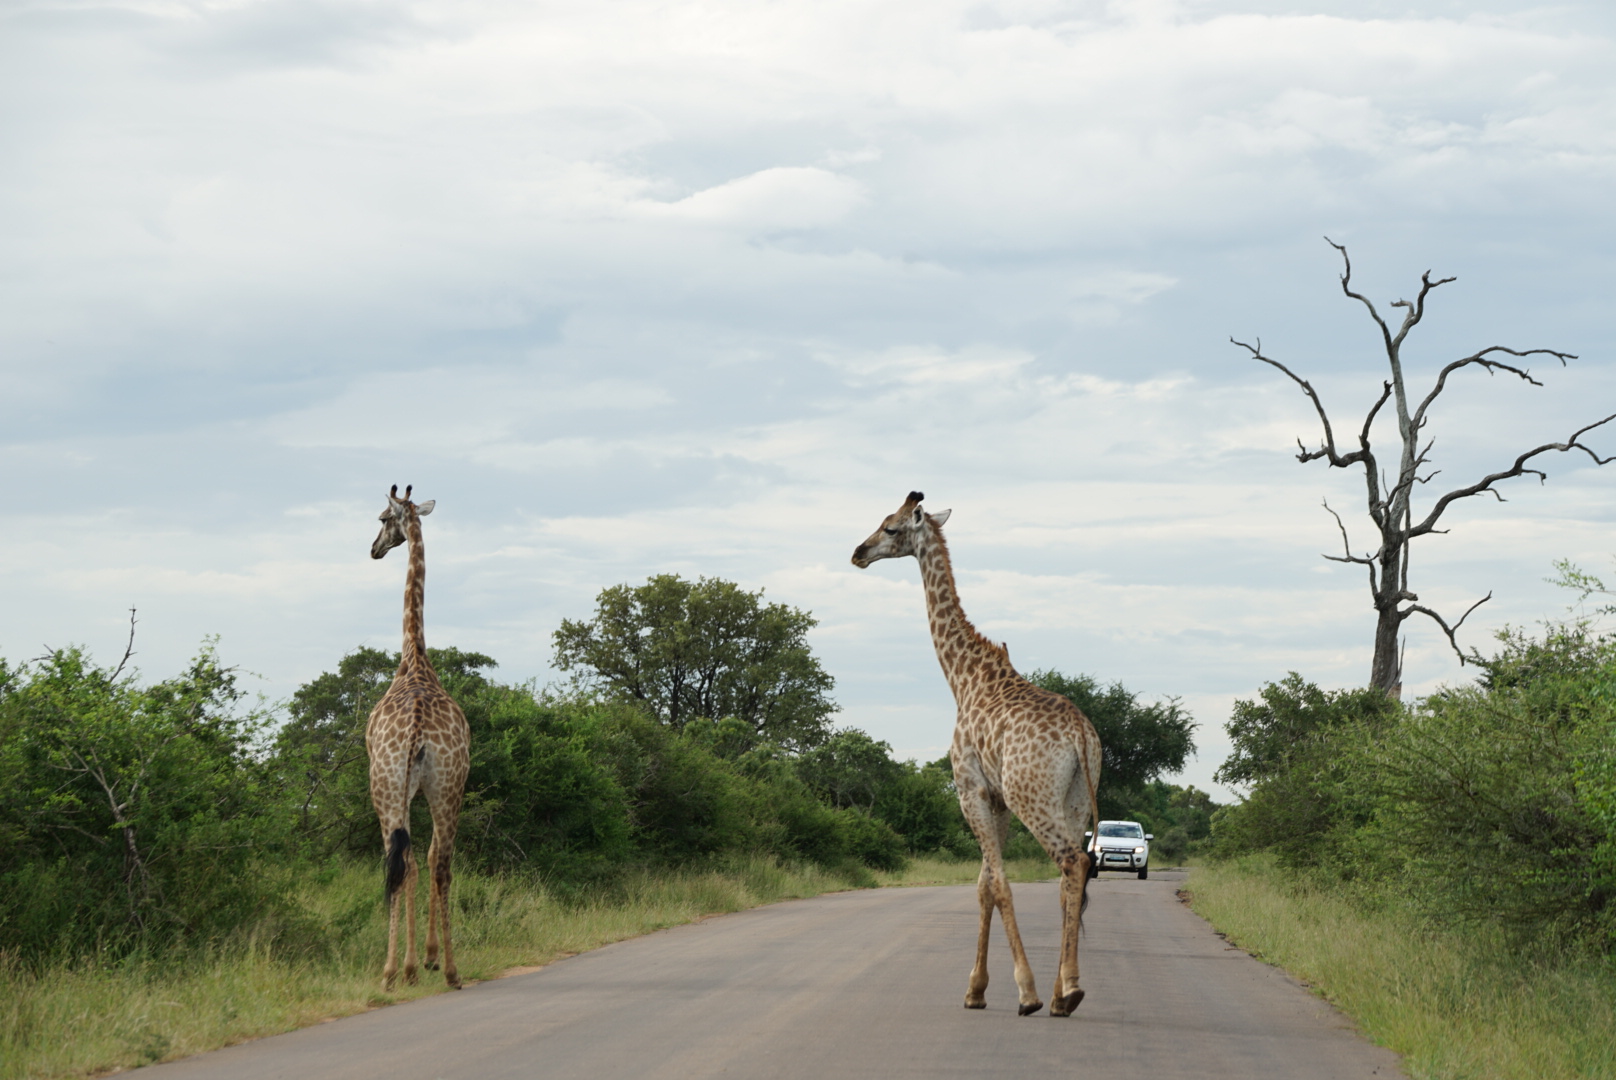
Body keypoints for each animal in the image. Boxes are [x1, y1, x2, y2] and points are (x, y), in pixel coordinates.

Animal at [853, 494, 1105, 1015]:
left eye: (890, 528)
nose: (857, 553)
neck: (962, 677)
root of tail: (1079, 734)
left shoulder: (969, 790)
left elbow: (998, 884)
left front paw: (1021, 992)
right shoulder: (997, 800)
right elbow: (984, 885)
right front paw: (976, 990)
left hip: (1035, 797)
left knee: (1073, 862)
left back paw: (1066, 990)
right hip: (1073, 798)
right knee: (1071, 875)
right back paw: (1062, 994)